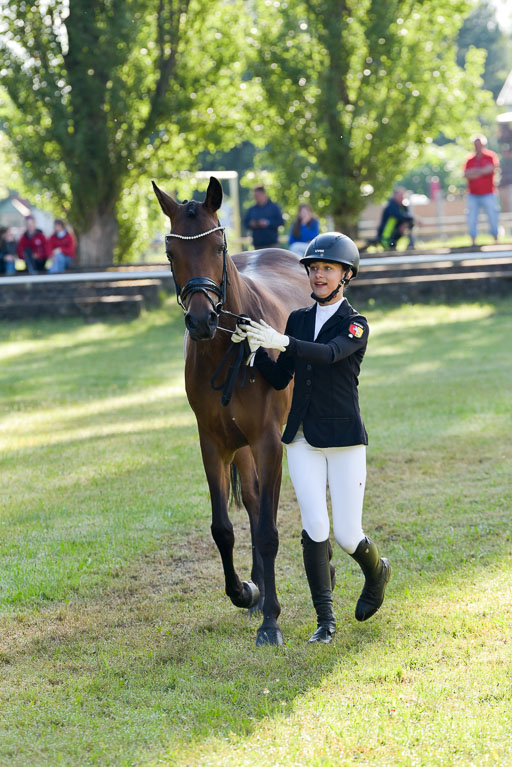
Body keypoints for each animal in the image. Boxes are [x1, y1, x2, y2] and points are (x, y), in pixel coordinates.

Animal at [152, 178, 310, 648]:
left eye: (219, 246)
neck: (229, 347)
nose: (202, 320)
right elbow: (224, 527)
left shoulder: (268, 442)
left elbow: (269, 530)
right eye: (171, 252)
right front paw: (245, 591)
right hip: (240, 447)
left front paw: (271, 621)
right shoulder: (215, 444)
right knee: (255, 501)